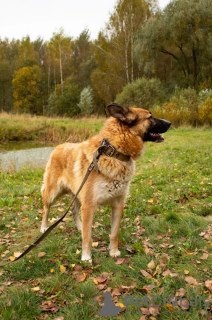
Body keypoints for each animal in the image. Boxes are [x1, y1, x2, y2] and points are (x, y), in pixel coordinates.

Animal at [41, 104, 171, 262]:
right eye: (150, 117)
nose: (170, 123)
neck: (114, 153)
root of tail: (58, 147)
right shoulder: (89, 205)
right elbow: (88, 237)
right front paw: (86, 257)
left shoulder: (117, 204)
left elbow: (114, 233)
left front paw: (113, 251)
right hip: (53, 192)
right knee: (46, 208)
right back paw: (44, 227)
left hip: (78, 195)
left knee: (74, 211)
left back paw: (80, 227)